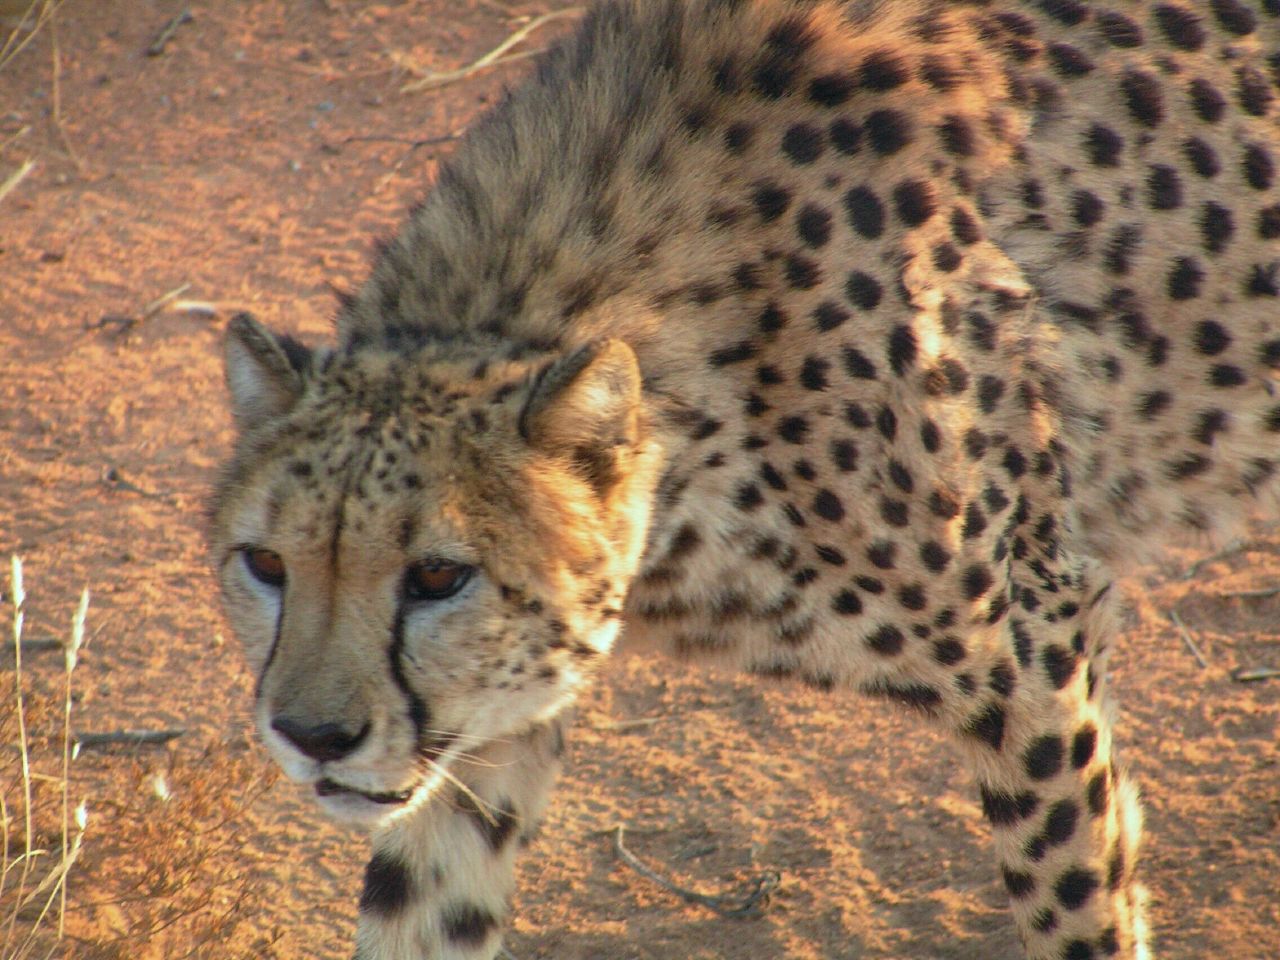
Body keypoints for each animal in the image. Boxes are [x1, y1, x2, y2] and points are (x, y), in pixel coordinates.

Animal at [207, 3, 1280, 957]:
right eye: (266, 565)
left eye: (438, 576)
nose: (313, 735)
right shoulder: (490, 721)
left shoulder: (1031, 653)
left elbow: (1076, 900)